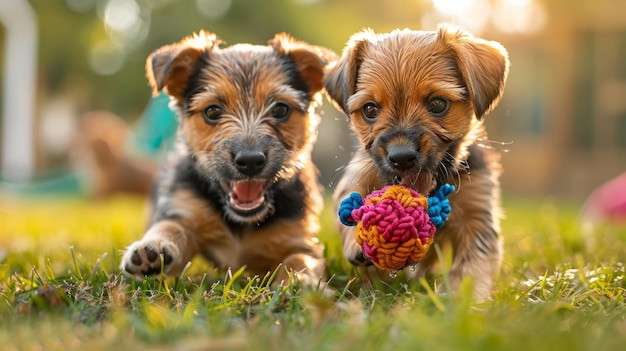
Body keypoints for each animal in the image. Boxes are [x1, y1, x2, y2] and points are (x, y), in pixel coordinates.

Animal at [122, 31, 336, 288]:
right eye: (212, 111)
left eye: (280, 109)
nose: (250, 161)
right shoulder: (184, 208)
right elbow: (171, 226)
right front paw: (153, 249)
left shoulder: (300, 239)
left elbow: (301, 259)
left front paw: (299, 280)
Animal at [324, 24, 510, 300]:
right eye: (370, 109)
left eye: (438, 104)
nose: (401, 157)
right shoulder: (360, 170)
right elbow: (350, 198)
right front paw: (357, 240)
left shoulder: (477, 218)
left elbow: (471, 266)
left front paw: (459, 297)